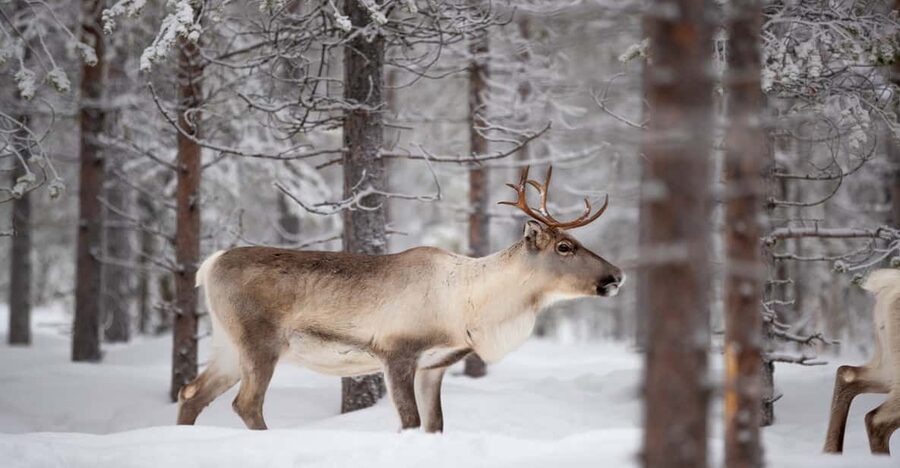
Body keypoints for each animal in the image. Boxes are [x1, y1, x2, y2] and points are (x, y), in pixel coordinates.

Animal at [176, 166, 625, 432]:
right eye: (565, 247)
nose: (617, 276)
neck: (468, 306)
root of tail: (208, 265)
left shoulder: (435, 365)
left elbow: (435, 424)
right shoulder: (397, 353)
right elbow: (409, 422)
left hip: (227, 345)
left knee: (191, 393)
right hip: (259, 342)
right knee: (246, 404)